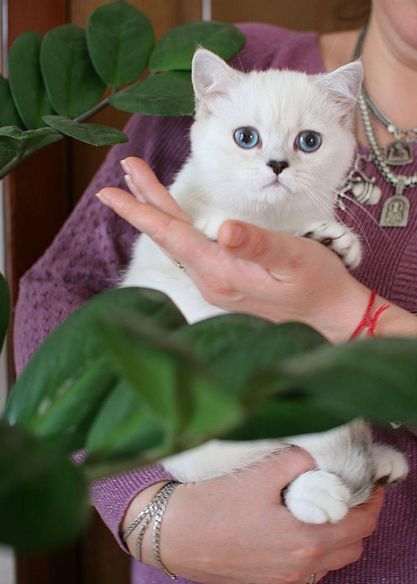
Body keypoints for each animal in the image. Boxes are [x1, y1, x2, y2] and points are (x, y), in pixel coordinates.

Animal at [120, 50, 406, 524]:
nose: (276, 165)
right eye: (246, 138)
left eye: (308, 142)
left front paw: (335, 242)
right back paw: (317, 491)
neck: (272, 224)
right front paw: (221, 226)